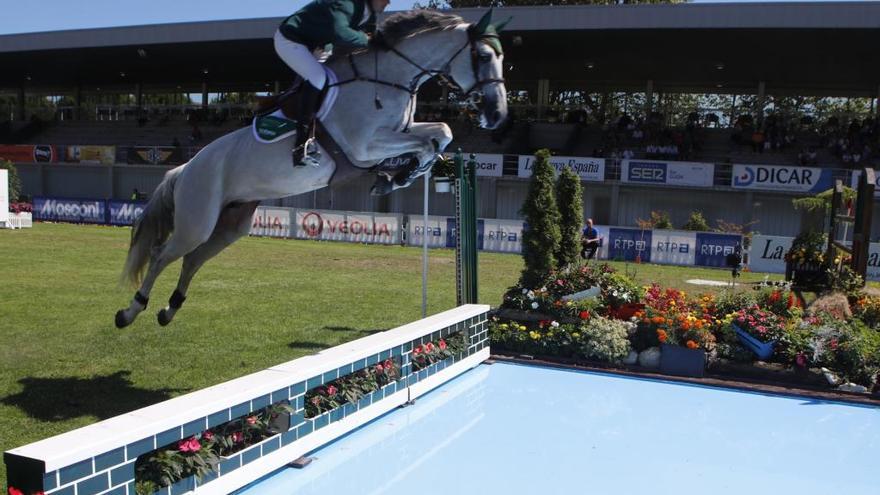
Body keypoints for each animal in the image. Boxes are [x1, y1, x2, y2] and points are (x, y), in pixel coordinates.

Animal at [115, 9, 508, 328]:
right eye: (483, 56)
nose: (497, 115)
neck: (387, 79)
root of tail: (184, 168)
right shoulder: (365, 146)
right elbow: (431, 140)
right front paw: (397, 175)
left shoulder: (399, 133)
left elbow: (441, 134)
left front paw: (396, 176)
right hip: (196, 221)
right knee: (162, 255)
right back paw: (130, 311)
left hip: (231, 224)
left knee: (192, 259)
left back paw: (169, 310)